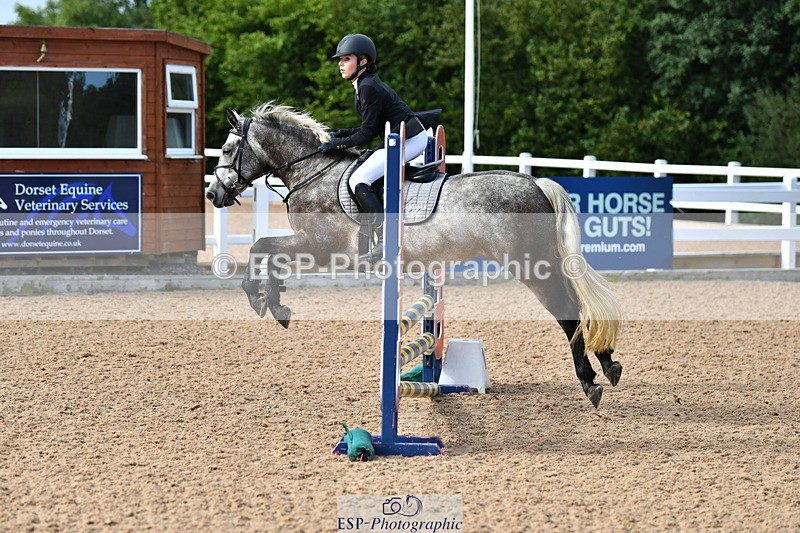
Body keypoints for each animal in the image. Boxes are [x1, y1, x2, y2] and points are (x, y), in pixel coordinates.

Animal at [205, 103, 623, 408]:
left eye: (226, 149)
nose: (212, 194)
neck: (312, 172)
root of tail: (535, 181)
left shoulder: (318, 247)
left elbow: (262, 247)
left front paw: (264, 300)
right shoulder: (310, 246)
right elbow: (266, 251)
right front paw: (275, 302)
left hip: (531, 265)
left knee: (568, 312)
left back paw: (591, 382)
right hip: (545, 260)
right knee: (578, 307)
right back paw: (608, 363)